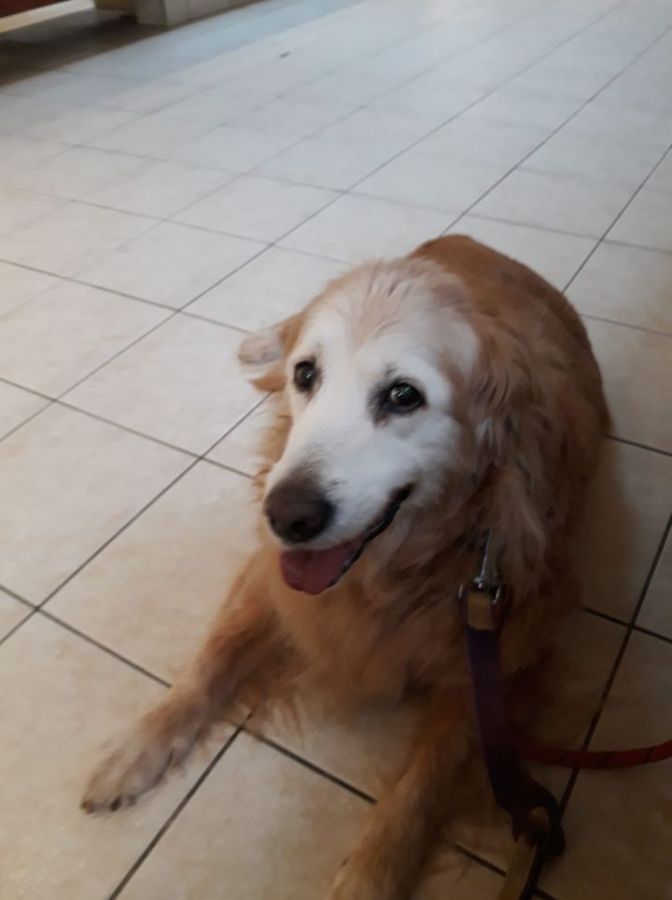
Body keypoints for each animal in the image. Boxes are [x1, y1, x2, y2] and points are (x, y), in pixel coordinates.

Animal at [82, 235, 608, 899]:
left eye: (404, 395)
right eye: (307, 376)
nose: (285, 516)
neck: (393, 572)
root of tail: (471, 242)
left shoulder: (507, 652)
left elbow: (427, 777)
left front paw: (373, 869)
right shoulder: (272, 580)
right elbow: (212, 657)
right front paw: (138, 744)